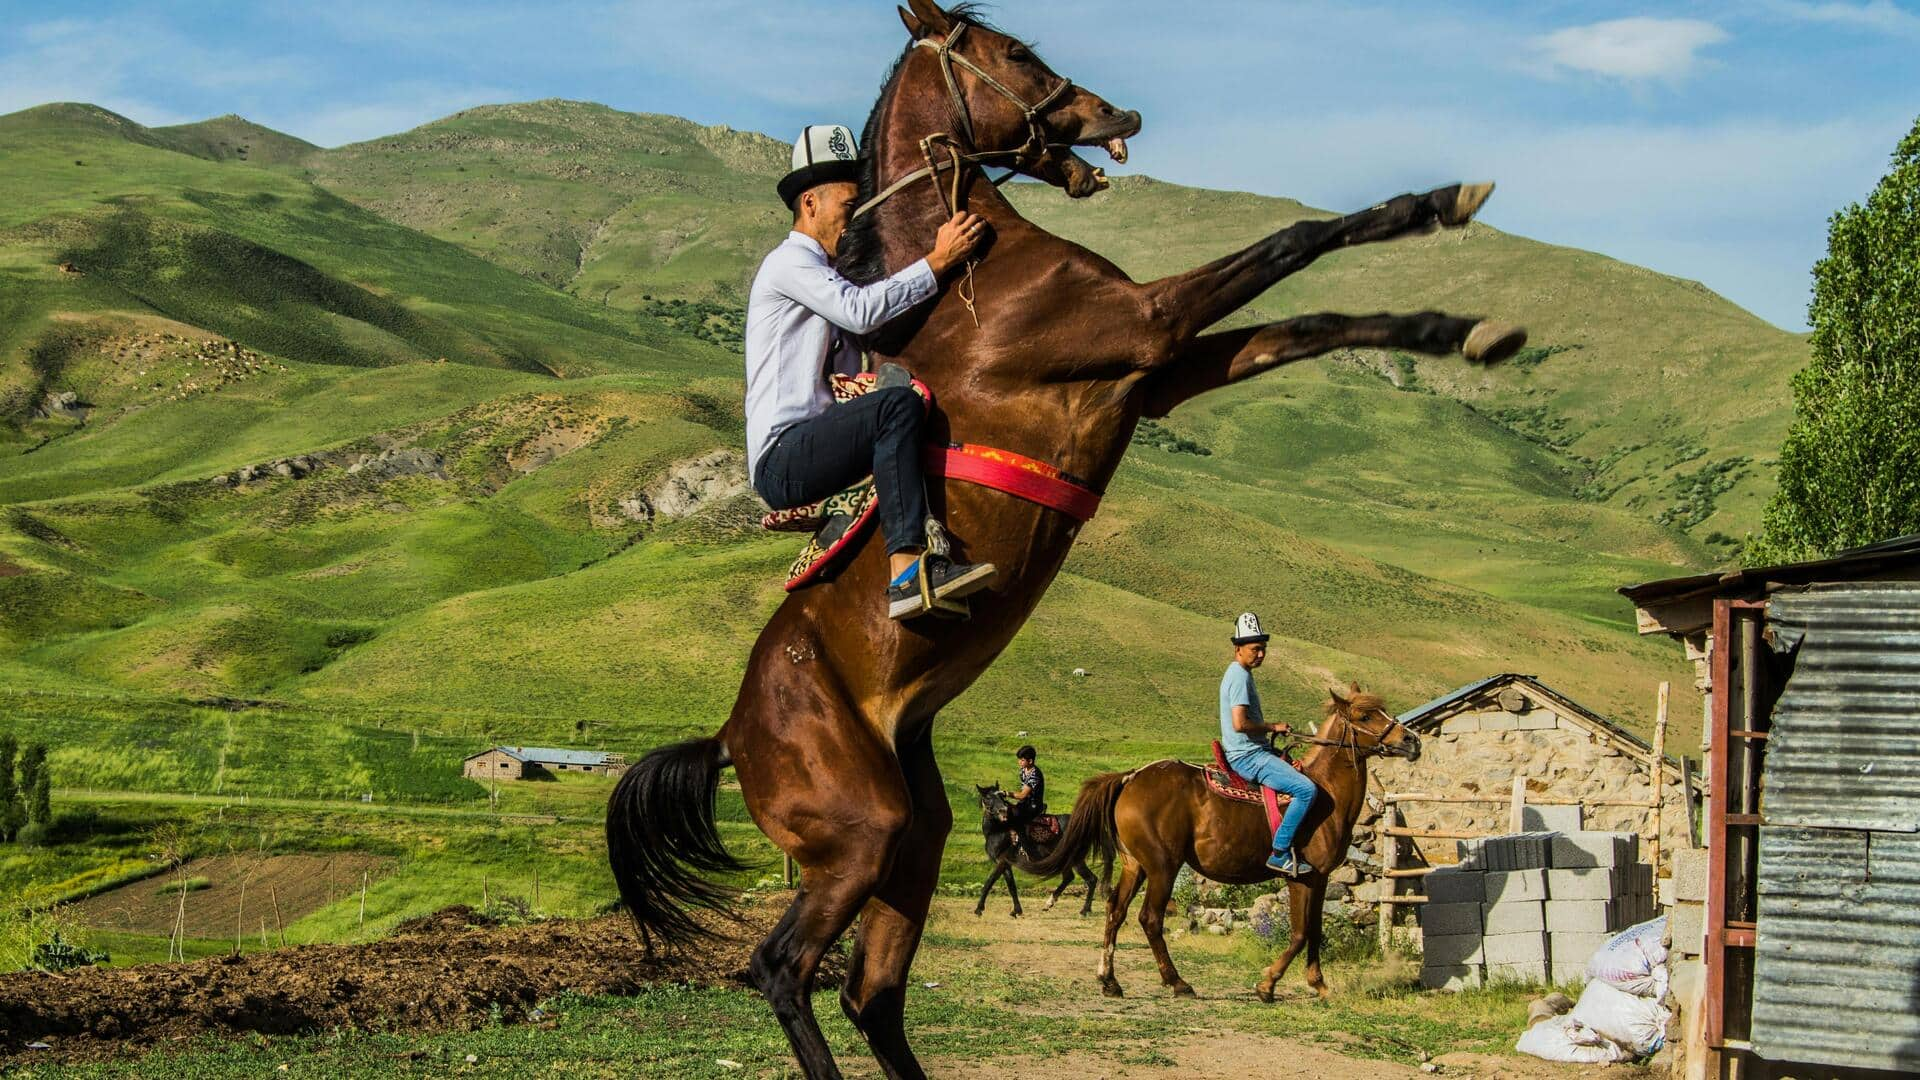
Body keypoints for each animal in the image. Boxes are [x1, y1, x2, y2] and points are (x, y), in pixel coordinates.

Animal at [975, 776, 1113, 910]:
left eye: (1001, 797)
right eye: (988, 798)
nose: (1003, 810)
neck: (998, 830)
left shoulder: (1002, 861)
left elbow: (991, 881)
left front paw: (979, 908)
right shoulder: (1006, 863)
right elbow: (1011, 885)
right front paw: (1017, 910)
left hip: (1076, 859)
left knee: (1091, 879)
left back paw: (1084, 910)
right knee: (1069, 877)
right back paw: (1049, 903)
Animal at [1036, 684, 1428, 999]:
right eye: (1365, 714)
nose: (1412, 740)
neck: (1325, 794)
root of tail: (1131, 778)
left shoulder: (1320, 878)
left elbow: (1314, 931)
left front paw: (1318, 984)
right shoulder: (1302, 877)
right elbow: (1300, 933)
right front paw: (1268, 984)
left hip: (1136, 865)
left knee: (1115, 911)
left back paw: (1110, 981)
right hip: (1163, 867)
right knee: (1149, 918)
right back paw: (1178, 983)